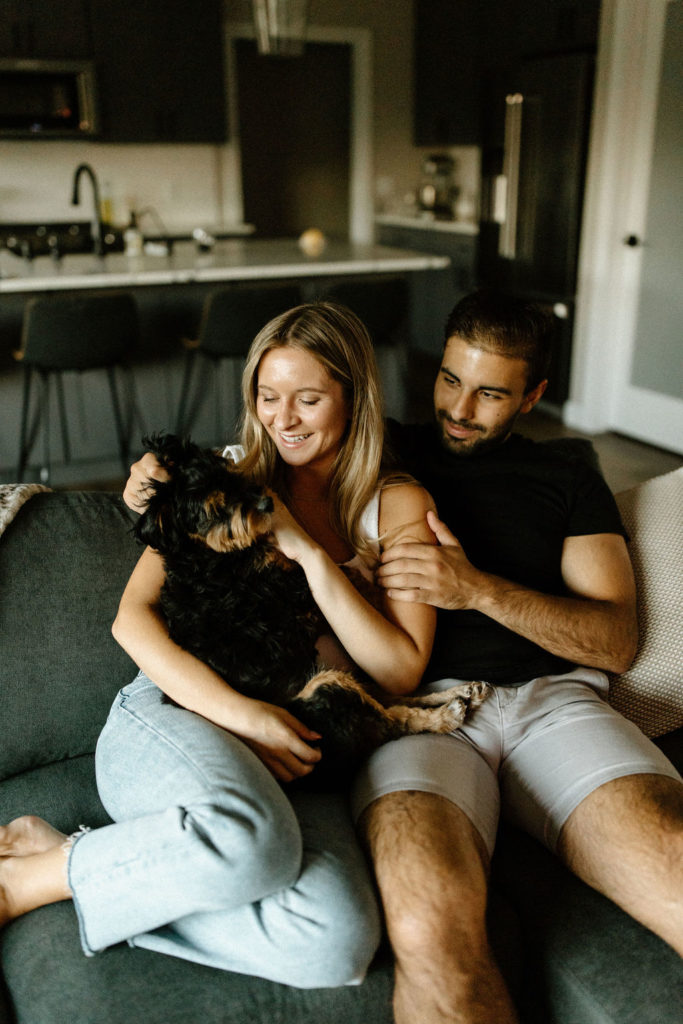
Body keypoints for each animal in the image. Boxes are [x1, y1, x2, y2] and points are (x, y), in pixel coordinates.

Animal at [133, 436, 489, 786]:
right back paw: (448, 713)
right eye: (217, 508)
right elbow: (336, 572)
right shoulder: (290, 594)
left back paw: (463, 692)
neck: (204, 554)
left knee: (391, 699)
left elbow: (338, 571)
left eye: (234, 477)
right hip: (327, 689)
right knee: (393, 718)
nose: (266, 504)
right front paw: (376, 584)